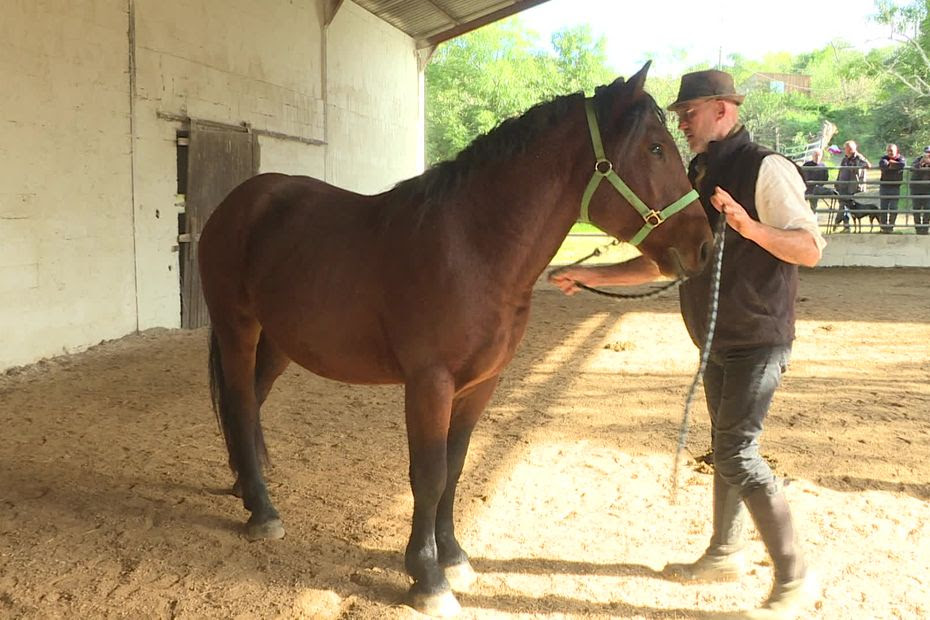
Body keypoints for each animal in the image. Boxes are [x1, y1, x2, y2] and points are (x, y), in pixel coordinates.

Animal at [198, 61, 712, 616]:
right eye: (656, 148)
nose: (705, 245)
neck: (471, 246)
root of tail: (240, 202)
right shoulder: (430, 384)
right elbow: (429, 474)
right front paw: (427, 577)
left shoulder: (481, 385)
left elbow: (456, 466)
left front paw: (454, 558)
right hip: (237, 327)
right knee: (239, 402)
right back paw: (262, 512)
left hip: (278, 342)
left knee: (249, 403)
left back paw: (247, 487)